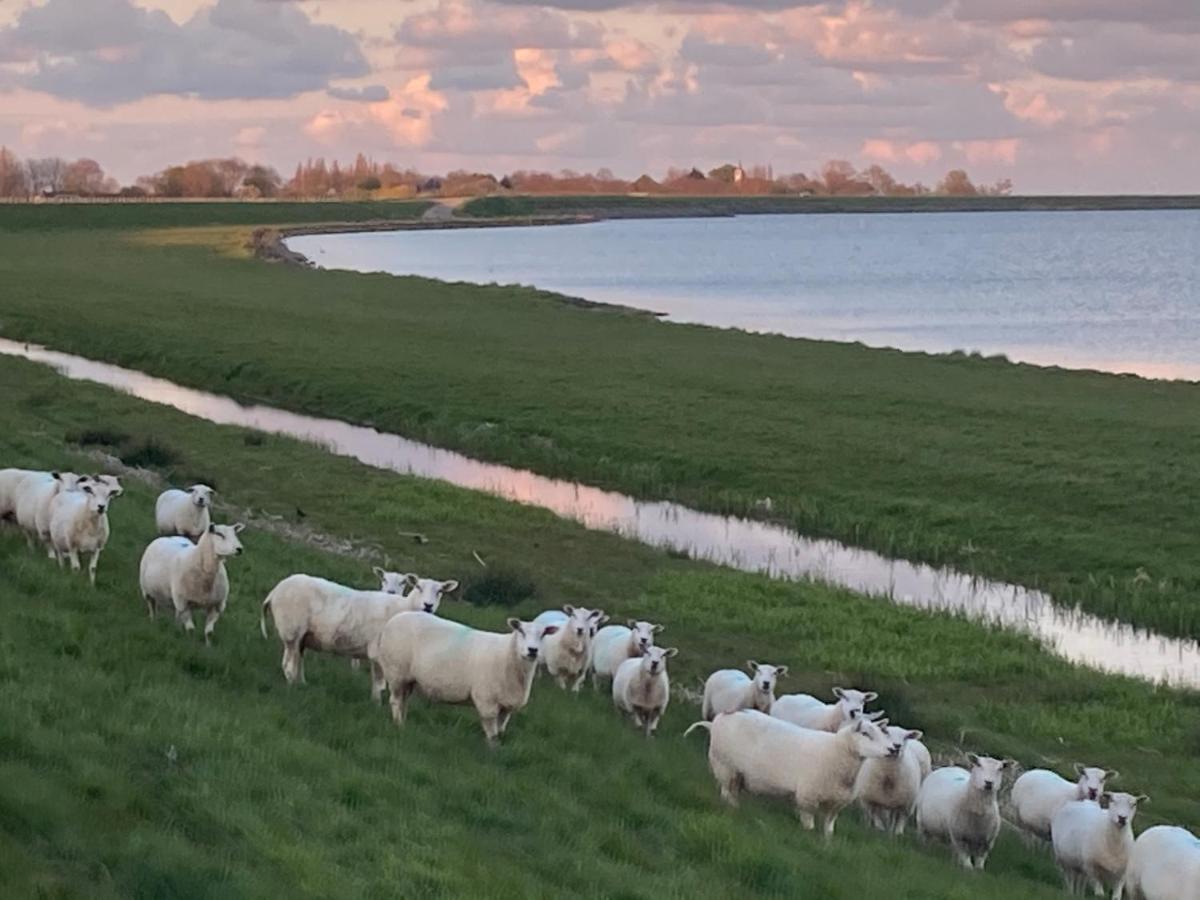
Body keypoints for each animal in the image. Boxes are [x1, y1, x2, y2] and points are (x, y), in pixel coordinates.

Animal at [260, 573, 456, 686]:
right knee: (288, 665)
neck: (404, 608)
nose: (428, 605)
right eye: (418, 587)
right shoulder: (379, 652)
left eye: (440, 591)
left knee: (297, 661)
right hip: (291, 630)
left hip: (302, 636)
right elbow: (380, 685)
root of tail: (275, 591)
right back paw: (292, 687)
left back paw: (302, 684)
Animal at [367, 614, 559, 748]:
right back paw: (398, 726)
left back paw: (404, 723)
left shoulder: (506, 706)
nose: (532, 650)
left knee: (403, 702)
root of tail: (392, 620)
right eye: (521, 631)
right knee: (395, 700)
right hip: (396, 671)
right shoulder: (486, 700)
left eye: (543, 634)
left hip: (408, 679)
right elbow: (492, 733)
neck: (507, 655)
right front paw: (493, 751)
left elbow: (500, 730)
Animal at [686, 710, 892, 844]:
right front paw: (808, 839)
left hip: (735, 774)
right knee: (727, 793)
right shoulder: (808, 797)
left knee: (731, 794)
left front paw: (827, 844)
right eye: (865, 733)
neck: (836, 751)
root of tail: (718, 720)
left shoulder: (836, 804)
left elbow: (829, 829)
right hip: (725, 766)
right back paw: (732, 811)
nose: (892, 749)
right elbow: (809, 825)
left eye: (883, 732)